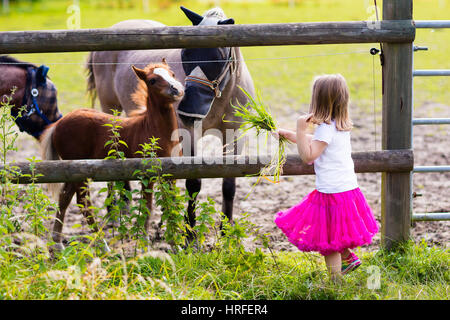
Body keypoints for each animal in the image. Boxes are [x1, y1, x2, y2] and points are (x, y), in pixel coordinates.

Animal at [40, 61, 184, 249]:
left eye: (172, 74)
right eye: (152, 80)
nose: (177, 89)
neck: (153, 130)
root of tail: (57, 124)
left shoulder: (171, 175)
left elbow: (170, 205)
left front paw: (176, 244)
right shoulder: (148, 175)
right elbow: (148, 206)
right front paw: (144, 241)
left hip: (70, 171)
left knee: (64, 198)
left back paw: (57, 243)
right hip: (80, 172)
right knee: (83, 203)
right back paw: (102, 244)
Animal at [87, 5, 256, 235]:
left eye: (218, 56)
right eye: (185, 53)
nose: (189, 111)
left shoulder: (234, 135)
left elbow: (228, 184)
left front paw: (225, 230)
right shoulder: (189, 135)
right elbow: (193, 183)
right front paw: (189, 232)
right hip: (111, 108)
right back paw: (117, 209)